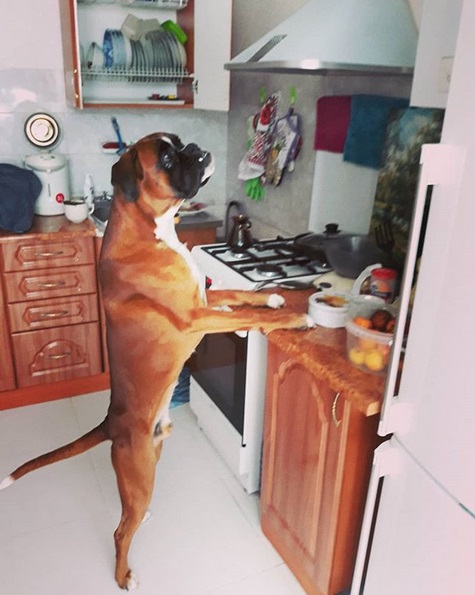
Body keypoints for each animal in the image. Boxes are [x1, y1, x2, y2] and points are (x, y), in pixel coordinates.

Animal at [0, 132, 316, 592]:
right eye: (167, 158)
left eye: (181, 143)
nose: (197, 149)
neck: (152, 229)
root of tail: (112, 422)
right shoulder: (198, 316)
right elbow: (248, 317)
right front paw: (293, 317)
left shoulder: (206, 296)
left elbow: (239, 294)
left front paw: (273, 296)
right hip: (140, 475)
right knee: (119, 531)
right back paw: (123, 575)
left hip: (154, 457)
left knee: (128, 518)